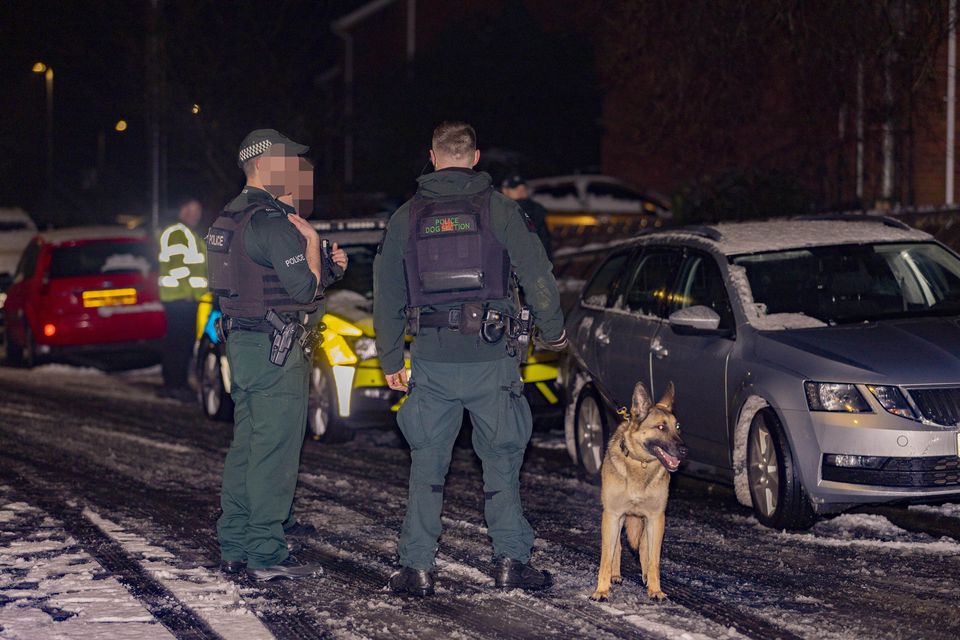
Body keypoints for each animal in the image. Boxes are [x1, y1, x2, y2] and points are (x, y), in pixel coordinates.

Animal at [588, 382, 688, 604]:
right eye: (661, 427)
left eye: (678, 427)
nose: (685, 450)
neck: (640, 463)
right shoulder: (612, 515)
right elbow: (607, 556)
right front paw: (601, 590)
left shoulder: (656, 518)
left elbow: (653, 559)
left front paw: (655, 589)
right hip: (617, 519)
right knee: (617, 547)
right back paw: (615, 575)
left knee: (644, 549)